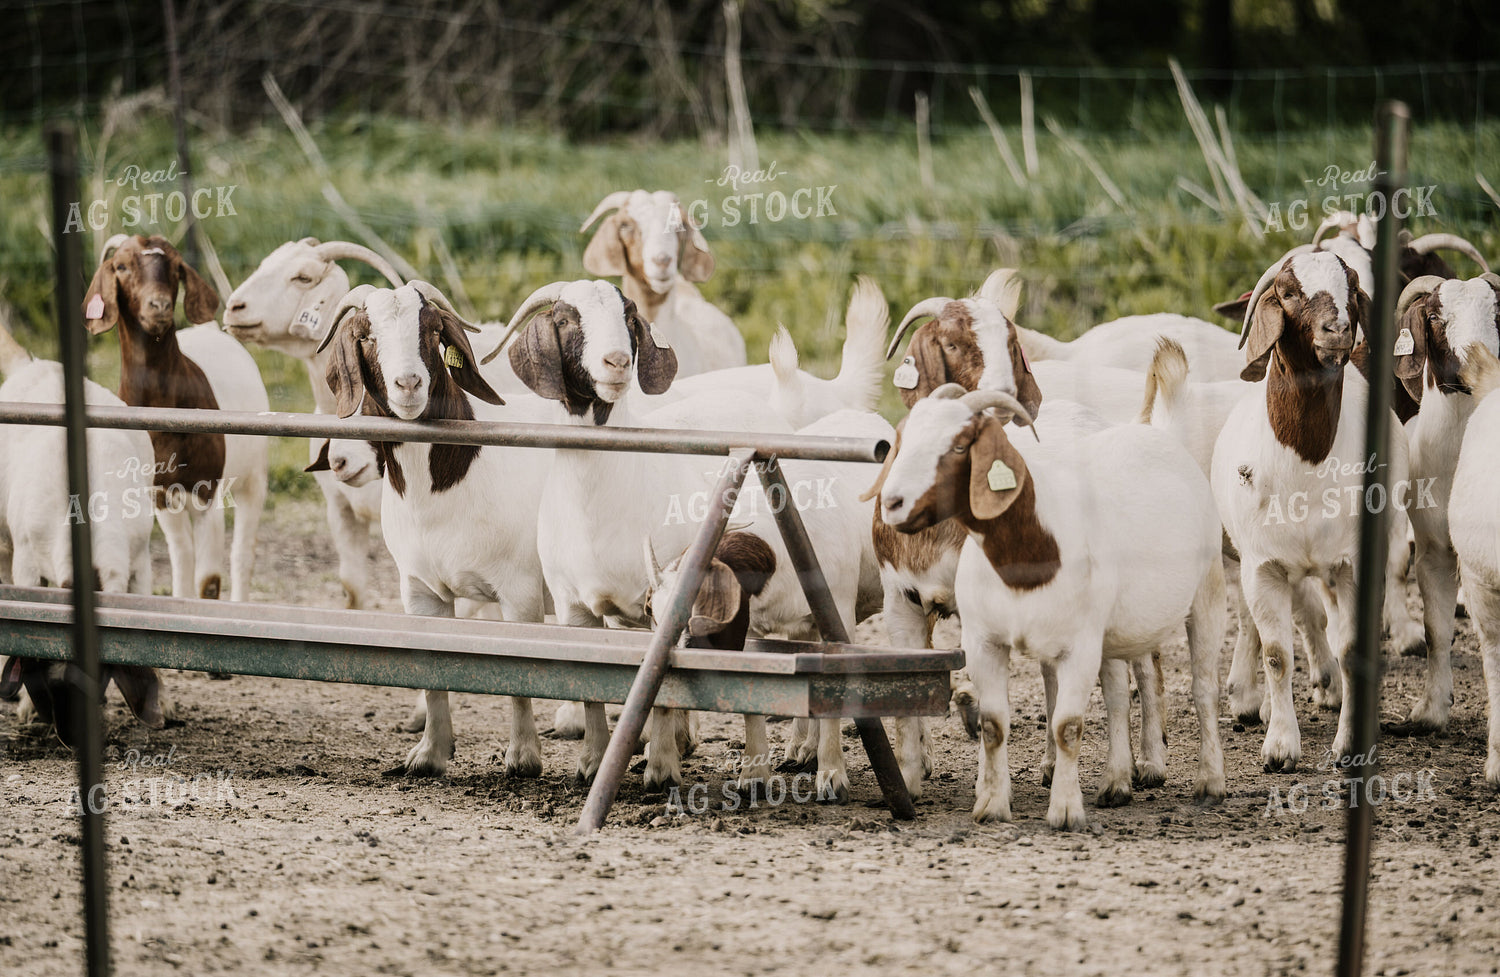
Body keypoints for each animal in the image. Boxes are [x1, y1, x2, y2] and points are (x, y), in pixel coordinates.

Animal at [84, 234, 269, 604]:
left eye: (175, 267)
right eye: (121, 266)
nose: (159, 306)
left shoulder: (207, 492)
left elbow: (208, 580)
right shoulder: (160, 495)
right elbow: (181, 563)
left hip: (253, 475)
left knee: (243, 552)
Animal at [318, 281, 552, 777]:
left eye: (432, 331)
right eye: (367, 336)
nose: (409, 384)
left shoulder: (520, 591)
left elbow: (520, 674)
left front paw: (523, 756)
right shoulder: (420, 589)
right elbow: (431, 669)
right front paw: (430, 753)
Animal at [871, 385, 1226, 829]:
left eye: (958, 446)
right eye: (901, 441)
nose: (893, 502)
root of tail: (1148, 431)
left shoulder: (1075, 640)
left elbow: (1067, 725)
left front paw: (1060, 808)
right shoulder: (935, 617)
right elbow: (976, 718)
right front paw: (934, 789)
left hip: (1203, 593)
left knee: (1191, 683)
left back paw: (1192, 777)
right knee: (1113, 691)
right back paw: (1113, 781)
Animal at [1212, 247, 1413, 770]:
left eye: (1351, 288)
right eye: (1287, 292)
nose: (1337, 330)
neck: (1305, 462)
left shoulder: (1354, 565)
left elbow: (1353, 648)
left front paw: (1349, 745)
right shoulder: (1262, 568)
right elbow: (1277, 654)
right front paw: (1280, 746)